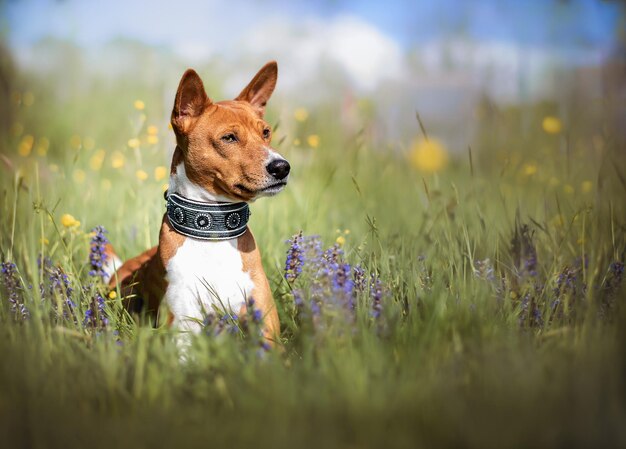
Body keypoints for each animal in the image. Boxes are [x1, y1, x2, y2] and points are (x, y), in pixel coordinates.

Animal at [105, 61, 288, 344]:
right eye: (229, 138)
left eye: (266, 132)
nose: (282, 167)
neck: (213, 232)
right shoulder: (183, 333)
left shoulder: (267, 332)